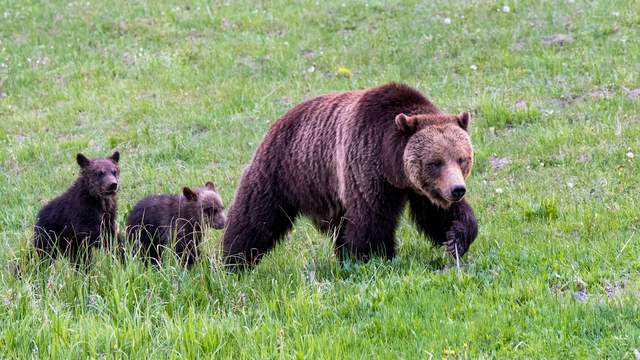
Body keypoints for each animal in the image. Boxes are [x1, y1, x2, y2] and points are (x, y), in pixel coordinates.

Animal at [222, 82, 478, 268]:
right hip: (283, 171)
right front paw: (375, 257)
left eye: (462, 159)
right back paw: (234, 261)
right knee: (256, 218)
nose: (457, 190)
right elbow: (371, 219)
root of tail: (279, 120)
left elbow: (436, 214)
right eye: (436, 162)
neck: (392, 165)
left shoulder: (420, 188)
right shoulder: (365, 165)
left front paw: (456, 238)